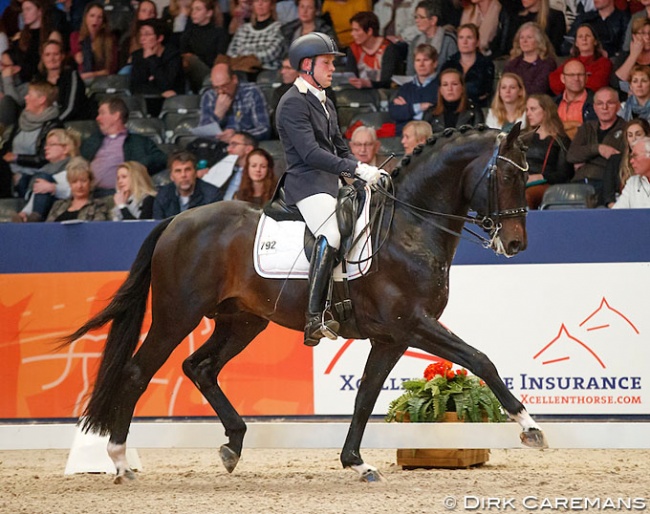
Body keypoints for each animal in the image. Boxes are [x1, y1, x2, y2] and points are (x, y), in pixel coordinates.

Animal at [62, 122, 548, 482]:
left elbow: (366, 394)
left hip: (242, 322)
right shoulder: (413, 324)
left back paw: (233, 443)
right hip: (176, 315)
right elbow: (480, 359)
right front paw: (530, 428)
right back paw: (120, 461)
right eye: (509, 175)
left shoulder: (391, 337)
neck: (408, 226)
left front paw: (356, 461)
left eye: (528, 175)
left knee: (199, 367)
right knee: (138, 372)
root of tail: (177, 220)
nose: (516, 244)